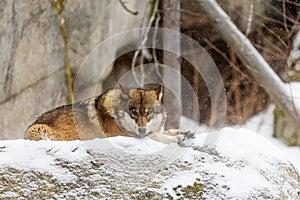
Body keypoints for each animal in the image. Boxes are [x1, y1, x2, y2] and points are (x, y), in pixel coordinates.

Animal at [24, 84, 193, 144]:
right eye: (133, 113)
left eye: (148, 113)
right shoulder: (124, 134)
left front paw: (182, 132)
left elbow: (160, 131)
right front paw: (176, 138)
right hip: (41, 129)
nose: (141, 129)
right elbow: (154, 135)